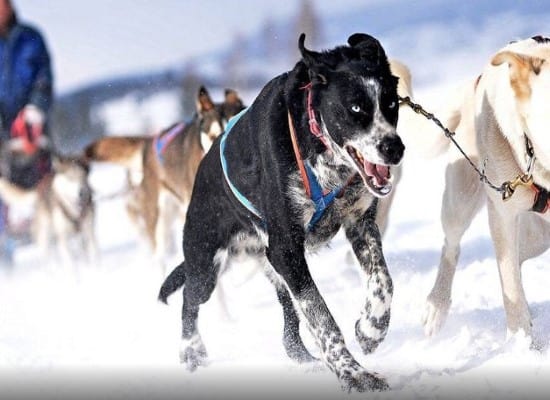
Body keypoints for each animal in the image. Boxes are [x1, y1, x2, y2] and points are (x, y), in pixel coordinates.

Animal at [160, 33, 406, 390]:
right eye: (356, 107)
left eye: (390, 103)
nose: (394, 148)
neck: (316, 140)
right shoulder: (286, 249)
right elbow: (321, 316)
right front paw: (353, 374)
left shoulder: (359, 224)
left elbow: (382, 281)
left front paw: (371, 328)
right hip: (207, 264)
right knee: (189, 301)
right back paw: (190, 351)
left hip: (273, 268)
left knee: (289, 315)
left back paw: (300, 355)